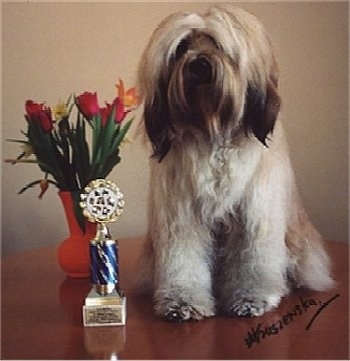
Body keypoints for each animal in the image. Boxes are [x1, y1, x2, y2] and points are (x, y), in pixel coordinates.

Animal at [136, 4, 334, 320]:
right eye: (182, 47)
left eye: (218, 45)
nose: (198, 65)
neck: (213, 133)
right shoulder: (181, 218)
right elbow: (183, 260)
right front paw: (182, 300)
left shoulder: (255, 215)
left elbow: (254, 261)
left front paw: (252, 298)